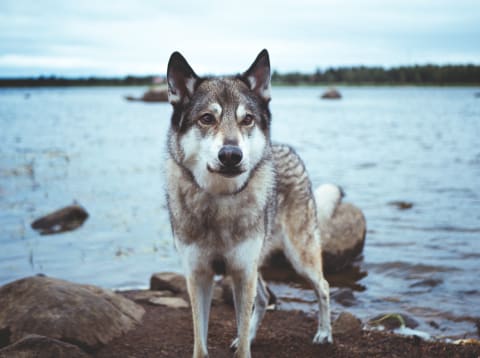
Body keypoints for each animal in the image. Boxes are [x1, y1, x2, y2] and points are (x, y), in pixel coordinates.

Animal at [166, 49, 338, 356]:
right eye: (207, 118)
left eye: (247, 119)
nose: (231, 155)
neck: (220, 200)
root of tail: (288, 150)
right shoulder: (199, 276)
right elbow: (201, 342)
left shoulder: (242, 271)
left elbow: (243, 337)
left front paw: (245, 342)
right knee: (264, 297)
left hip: (298, 257)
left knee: (324, 286)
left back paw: (324, 333)